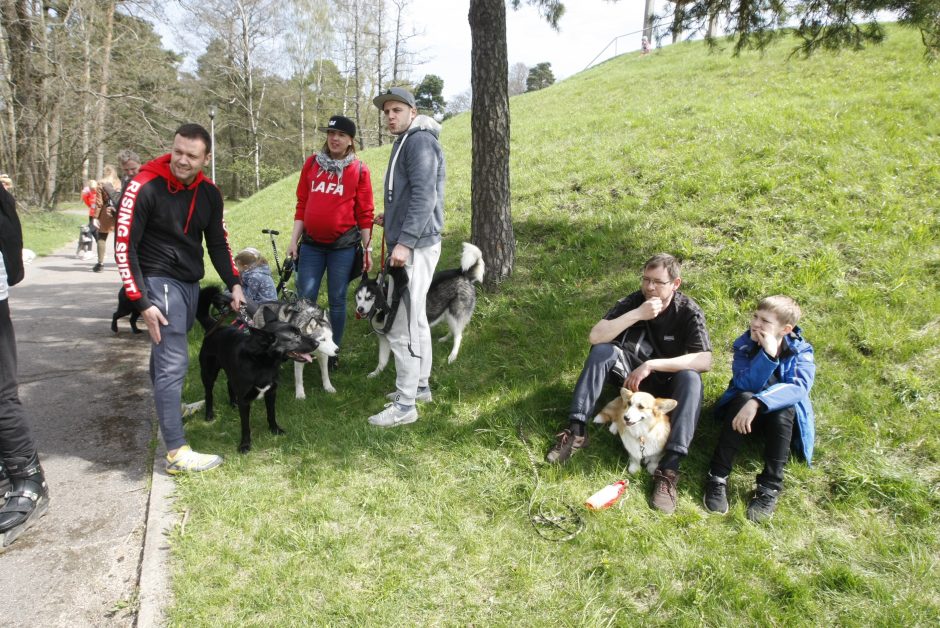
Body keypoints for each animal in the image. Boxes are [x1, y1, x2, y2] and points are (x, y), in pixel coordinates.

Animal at [196, 284, 318, 452]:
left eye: (299, 332)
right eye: (295, 337)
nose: (317, 343)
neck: (262, 363)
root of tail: (213, 326)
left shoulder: (271, 392)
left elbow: (271, 414)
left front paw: (275, 430)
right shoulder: (245, 400)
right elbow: (245, 426)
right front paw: (245, 445)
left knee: (229, 383)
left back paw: (233, 403)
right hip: (208, 373)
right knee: (209, 393)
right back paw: (209, 415)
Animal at [352, 242, 484, 378]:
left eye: (370, 297)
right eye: (359, 297)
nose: (360, 309)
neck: (387, 307)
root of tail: (462, 273)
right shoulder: (383, 339)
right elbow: (382, 360)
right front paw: (376, 373)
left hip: (455, 314)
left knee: (459, 336)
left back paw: (453, 355)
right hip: (449, 315)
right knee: (454, 331)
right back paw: (445, 339)